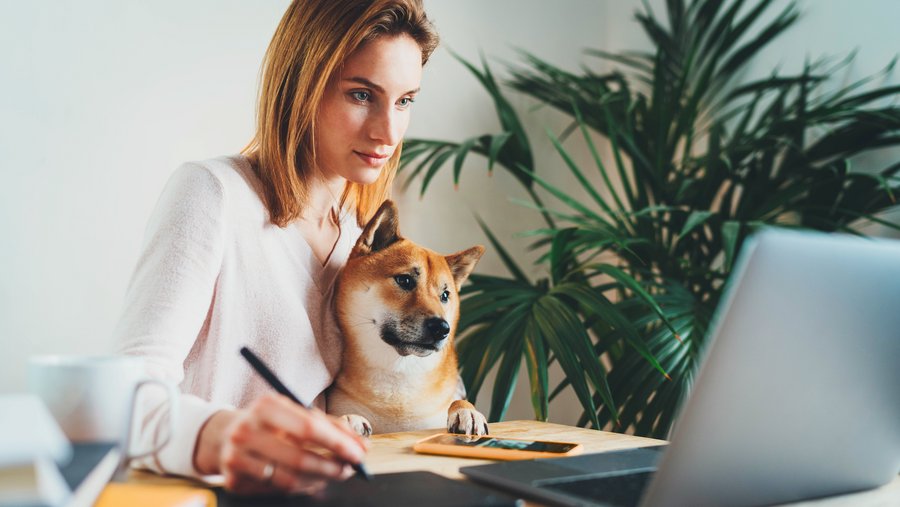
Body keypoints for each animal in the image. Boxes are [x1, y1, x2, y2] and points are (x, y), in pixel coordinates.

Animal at [326, 201, 488, 436]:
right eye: (405, 280)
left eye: (445, 295)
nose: (442, 328)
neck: (399, 374)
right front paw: (347, 420)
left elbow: (458, 401)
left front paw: (468, 412)